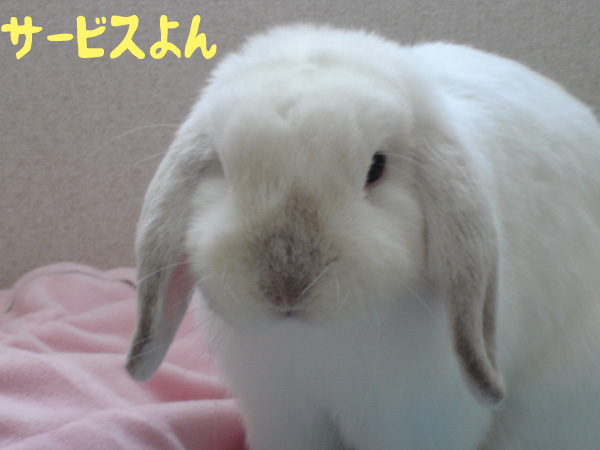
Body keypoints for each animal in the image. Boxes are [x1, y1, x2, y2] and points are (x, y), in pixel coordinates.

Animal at [125, 24, 600, 450]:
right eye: (223, 167)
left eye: (377, 167)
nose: (286, 287)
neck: (317, 341)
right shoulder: (284, 417)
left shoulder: (415, 422)